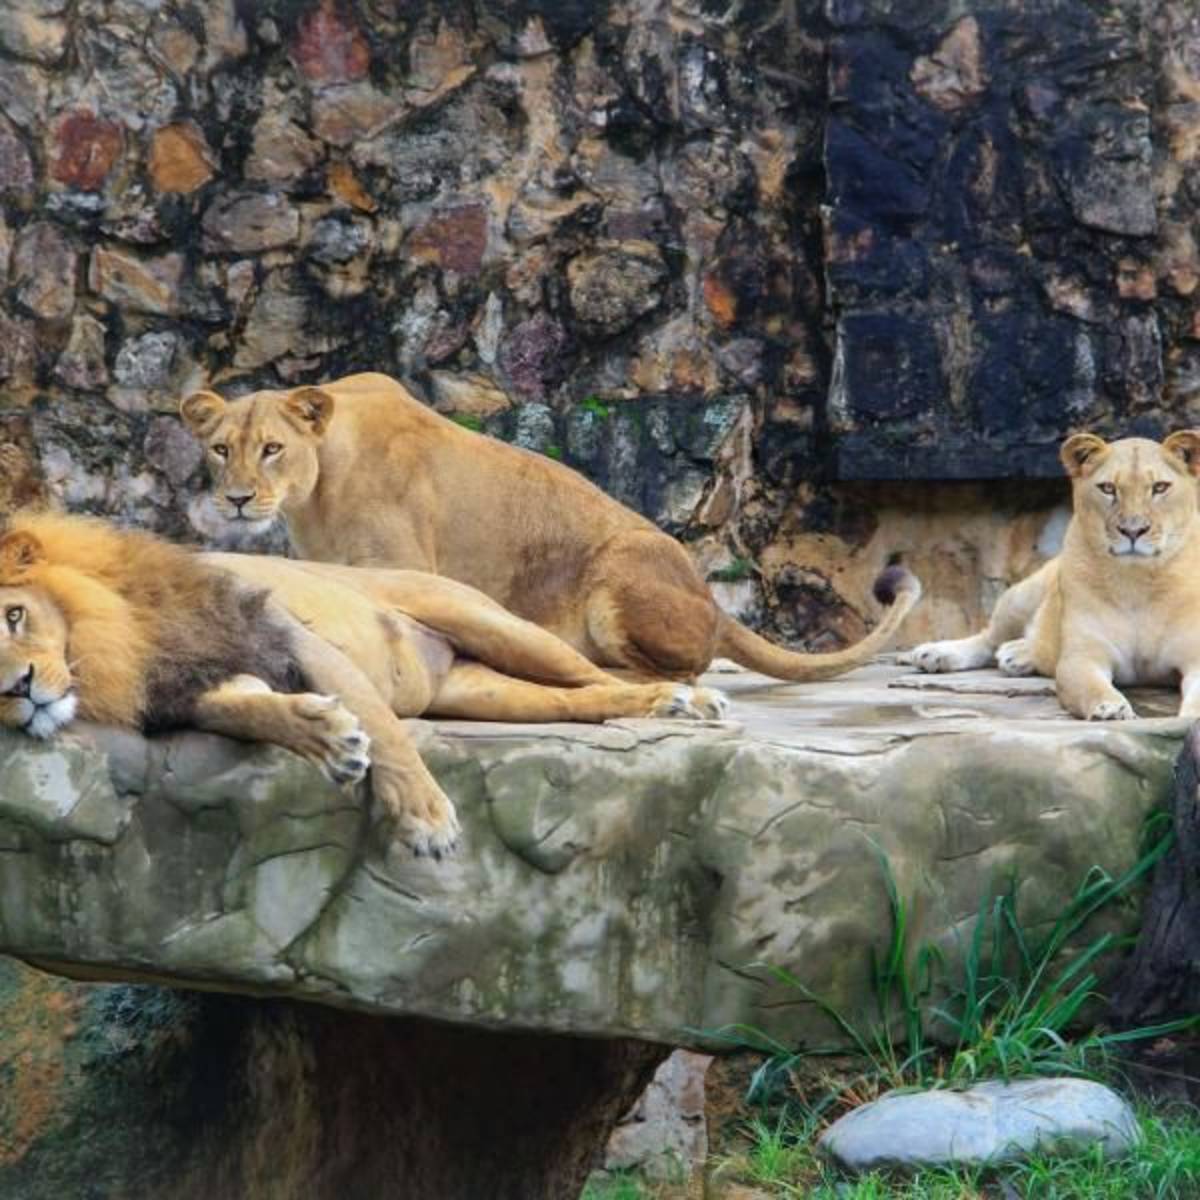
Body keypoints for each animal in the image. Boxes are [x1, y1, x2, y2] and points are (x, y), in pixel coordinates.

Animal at [0, 512, 730, 856]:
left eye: (13, 615)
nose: (19, 688)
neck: (117, 641)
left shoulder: (289, 635)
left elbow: (383, 727)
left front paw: (425, 816)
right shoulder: (198, 686)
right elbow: (253, 712)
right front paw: (322, 734)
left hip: (493, 623)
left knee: (595, 672)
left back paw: (683, 698)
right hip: (484, 690)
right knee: (579, 699)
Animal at [180, 373, 921, 683]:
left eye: (272, 448)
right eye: (220, 449)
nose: (238, 500)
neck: (316, 487)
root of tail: (711, 600)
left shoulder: (399, 564)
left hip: (618, 574)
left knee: (686, 670)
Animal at [905, 430, 1200, 720]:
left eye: (1160, 487)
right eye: (1108, 488)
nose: (1133, 530)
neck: (1136, 581)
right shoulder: (1082, 657)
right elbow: (1092, 687)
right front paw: (1109, 709)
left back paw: (1018, 654)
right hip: (1020, 597)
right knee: (987, 638)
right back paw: (936, 654)